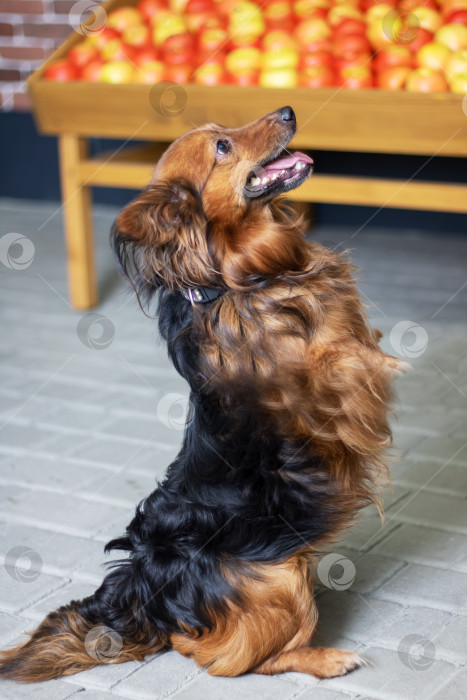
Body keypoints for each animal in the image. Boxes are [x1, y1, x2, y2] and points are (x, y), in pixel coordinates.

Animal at [0, 106, 404, 680]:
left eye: (225, 132)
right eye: (221, 148)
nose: (288, 111)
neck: (243, 280)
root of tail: (146, 594)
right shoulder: (323, 386)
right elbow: (344, 357)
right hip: (279, 581)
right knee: (238, 661)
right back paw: (328, 656)